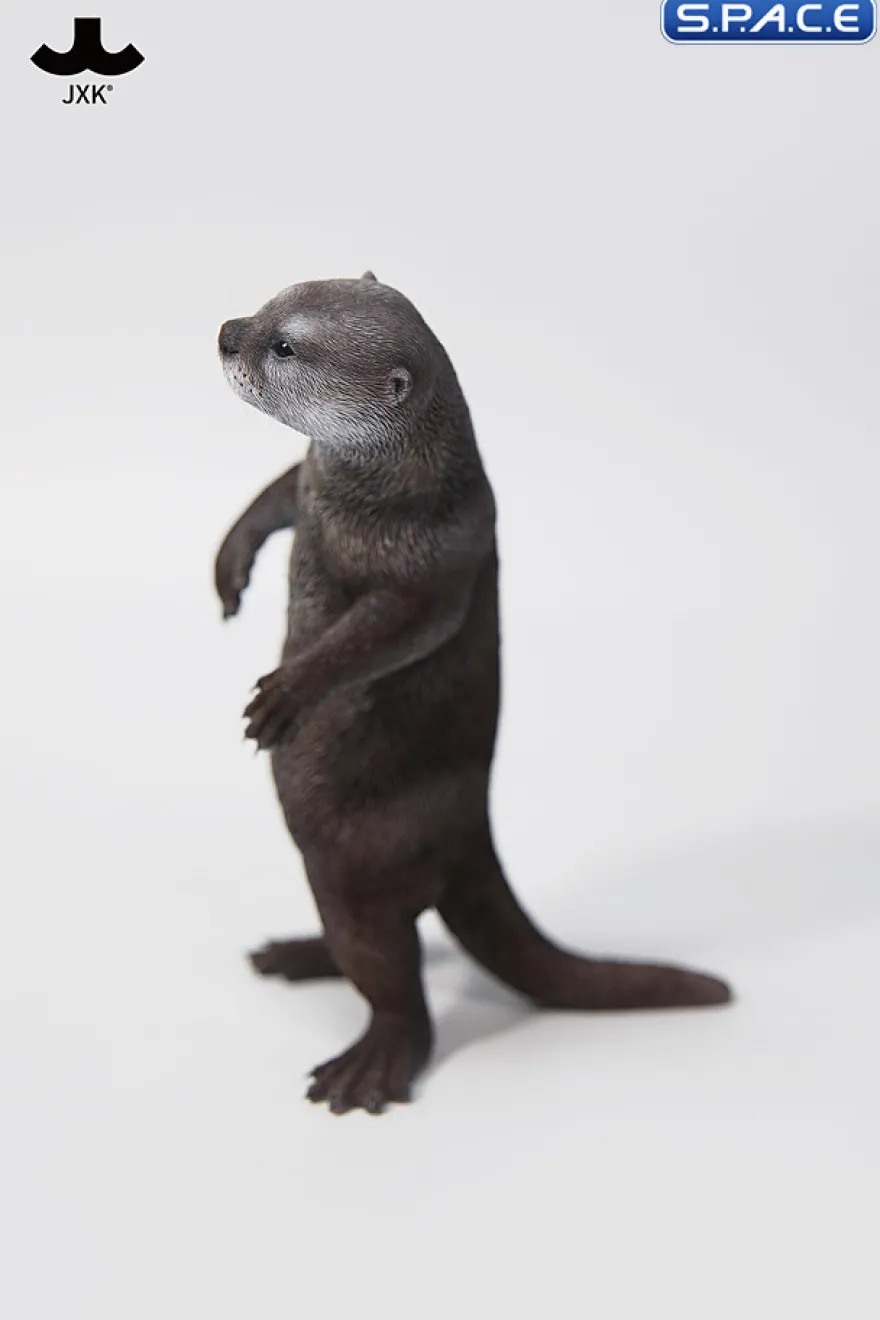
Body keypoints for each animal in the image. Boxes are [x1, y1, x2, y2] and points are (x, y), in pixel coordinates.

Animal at [214, 271, 731, 1116]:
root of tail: (468, 835)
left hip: (360, 861)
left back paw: (372, 1063)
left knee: (396, 970)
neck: (383, 498)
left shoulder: (434, 560)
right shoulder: (315, 481)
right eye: (266, 302)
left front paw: (287, 694)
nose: (227, 332)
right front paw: (230, 565)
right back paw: (297, 954)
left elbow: (388, 633)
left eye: (284, 345)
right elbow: (276, 495)